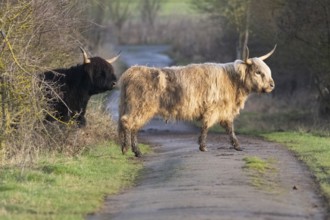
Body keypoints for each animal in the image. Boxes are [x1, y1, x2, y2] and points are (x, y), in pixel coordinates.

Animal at [118, 46, 276, 156]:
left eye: (268, 71)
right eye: (258, 72)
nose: (272, 85)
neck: (233, 82)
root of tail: (132, 71)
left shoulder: (225, 111)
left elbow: (230, 129)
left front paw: (237, 146)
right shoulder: (213, 109)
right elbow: (206, 126)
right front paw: (203, 146)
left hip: (139, 108)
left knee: (134, 126)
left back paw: (135, 151)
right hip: (140, 107)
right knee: (127, 122)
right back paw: (127, 149)